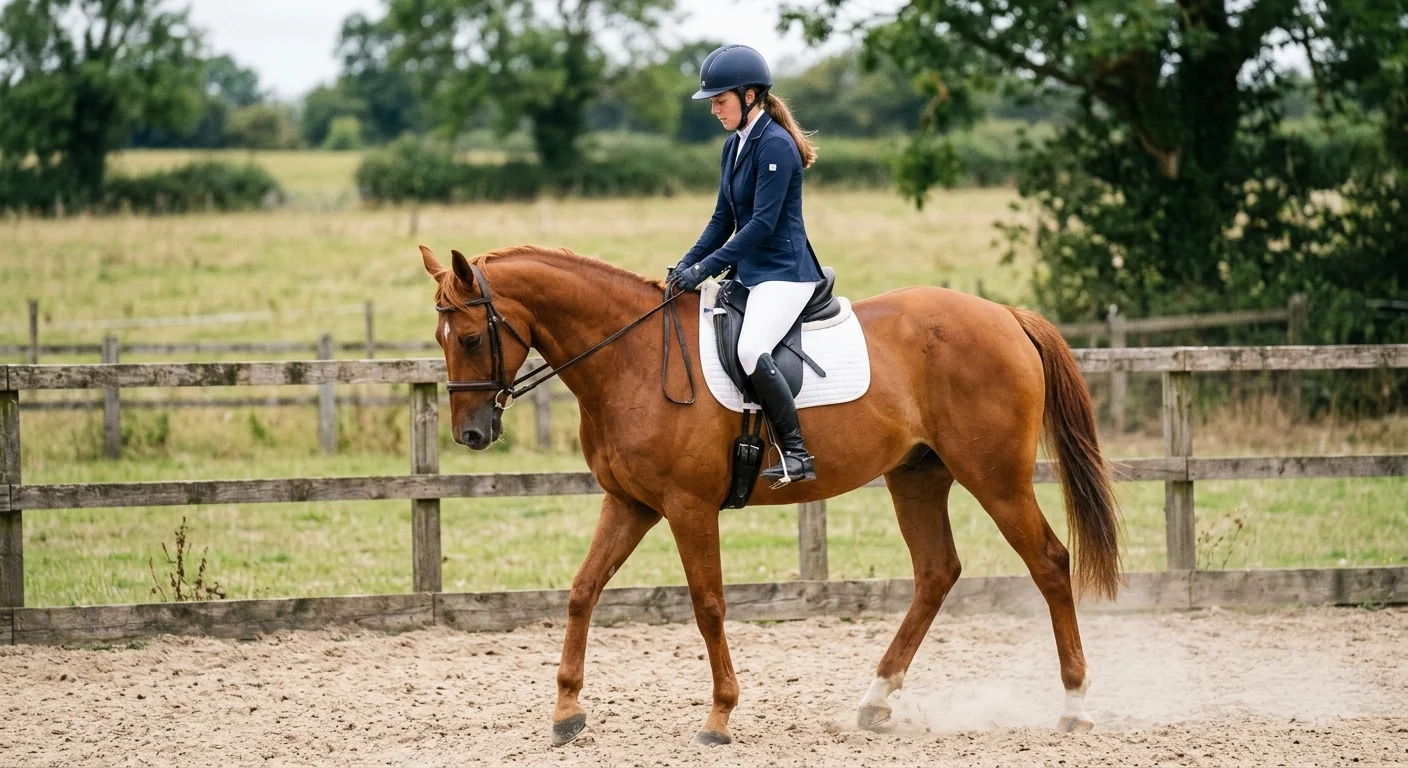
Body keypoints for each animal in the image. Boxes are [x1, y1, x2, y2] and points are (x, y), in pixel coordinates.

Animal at [419, 244, 1121, 746]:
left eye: (473, 338)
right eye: (440, 340)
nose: (471, 434)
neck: (632, 359)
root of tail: (1004, 315)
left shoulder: (687, 507)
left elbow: (708, 605)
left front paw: (719, 718)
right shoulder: (630, 504)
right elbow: (582, 591)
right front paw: (567, 710)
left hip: (995, 477)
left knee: (1049, 563)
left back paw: (1075, 707)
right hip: (918, 475)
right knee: (936, 572)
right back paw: (874, 702)